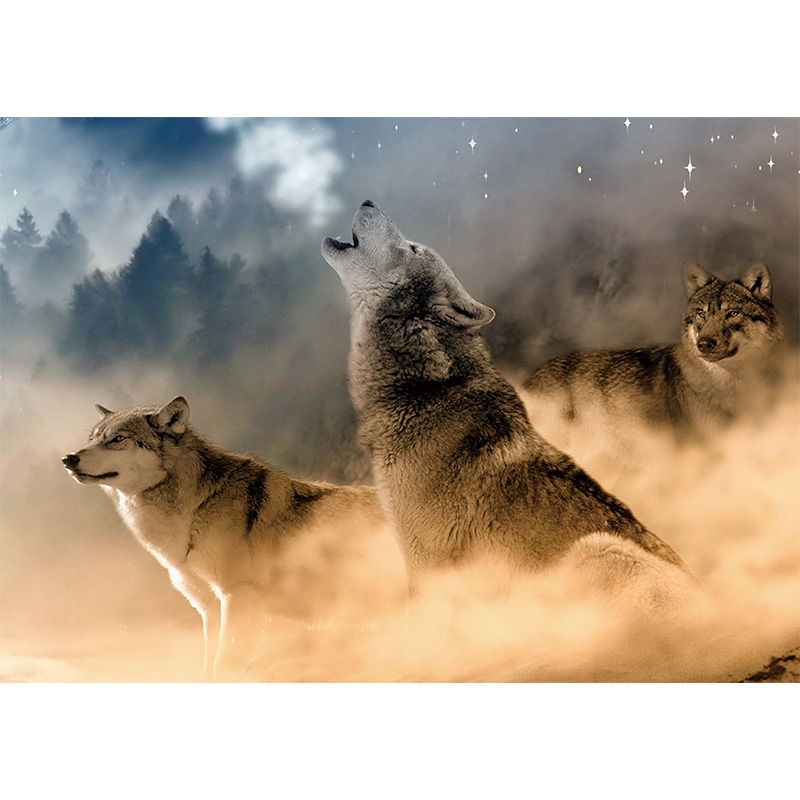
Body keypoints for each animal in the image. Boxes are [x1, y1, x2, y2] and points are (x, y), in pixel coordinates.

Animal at [62, 396, 404, 680]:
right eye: (93, 439)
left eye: (118, 439)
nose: (69, 458)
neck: (195, 508)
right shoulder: (210, 610)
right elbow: (207, 669)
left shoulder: (239, 599)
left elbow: (223, 667)